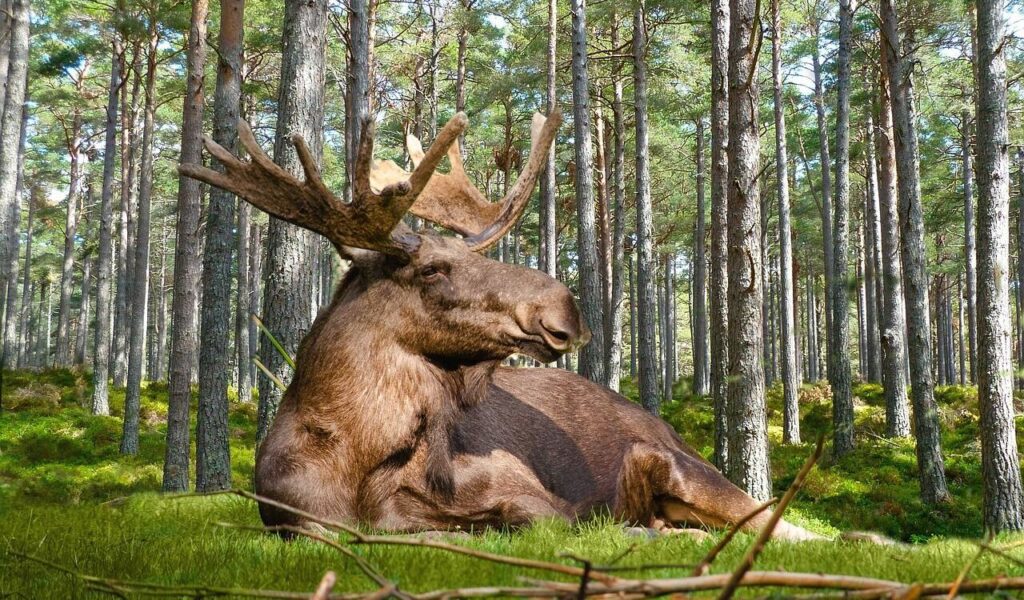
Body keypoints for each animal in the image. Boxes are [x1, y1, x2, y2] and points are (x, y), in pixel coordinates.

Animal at [178, 108, 821, 541]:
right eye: (433, 268)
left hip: (685, 467)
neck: (356, 457)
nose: (566, 306)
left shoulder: (533, 495)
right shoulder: (294, 517)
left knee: (783, 524)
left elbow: (522, 522)